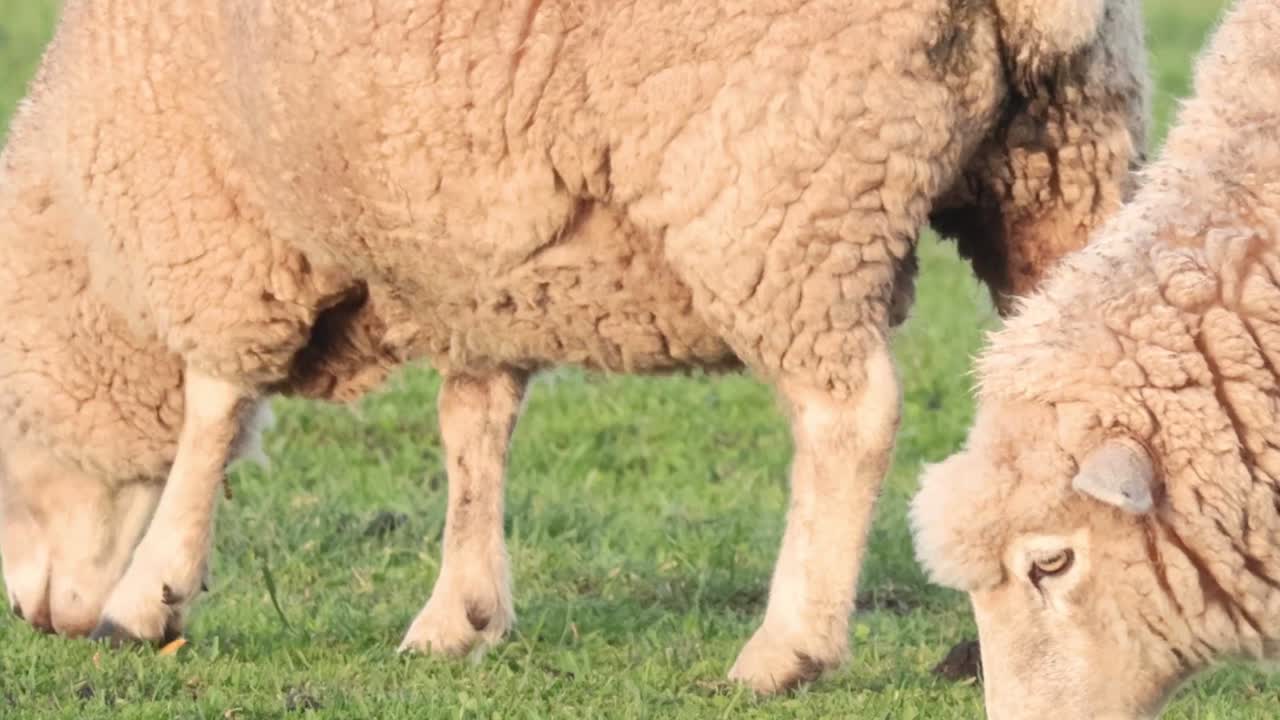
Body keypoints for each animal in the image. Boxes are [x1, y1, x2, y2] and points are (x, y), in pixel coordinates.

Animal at [0, 0, 1146, 693]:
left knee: (849, 415)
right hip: (1055, 163)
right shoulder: (464, 259)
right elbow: (472, 428)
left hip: (781, 184)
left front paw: (147, 596)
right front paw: (459, 614)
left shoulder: (225, 230)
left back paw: (786, 648)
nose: (33, 620)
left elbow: (212, 406)